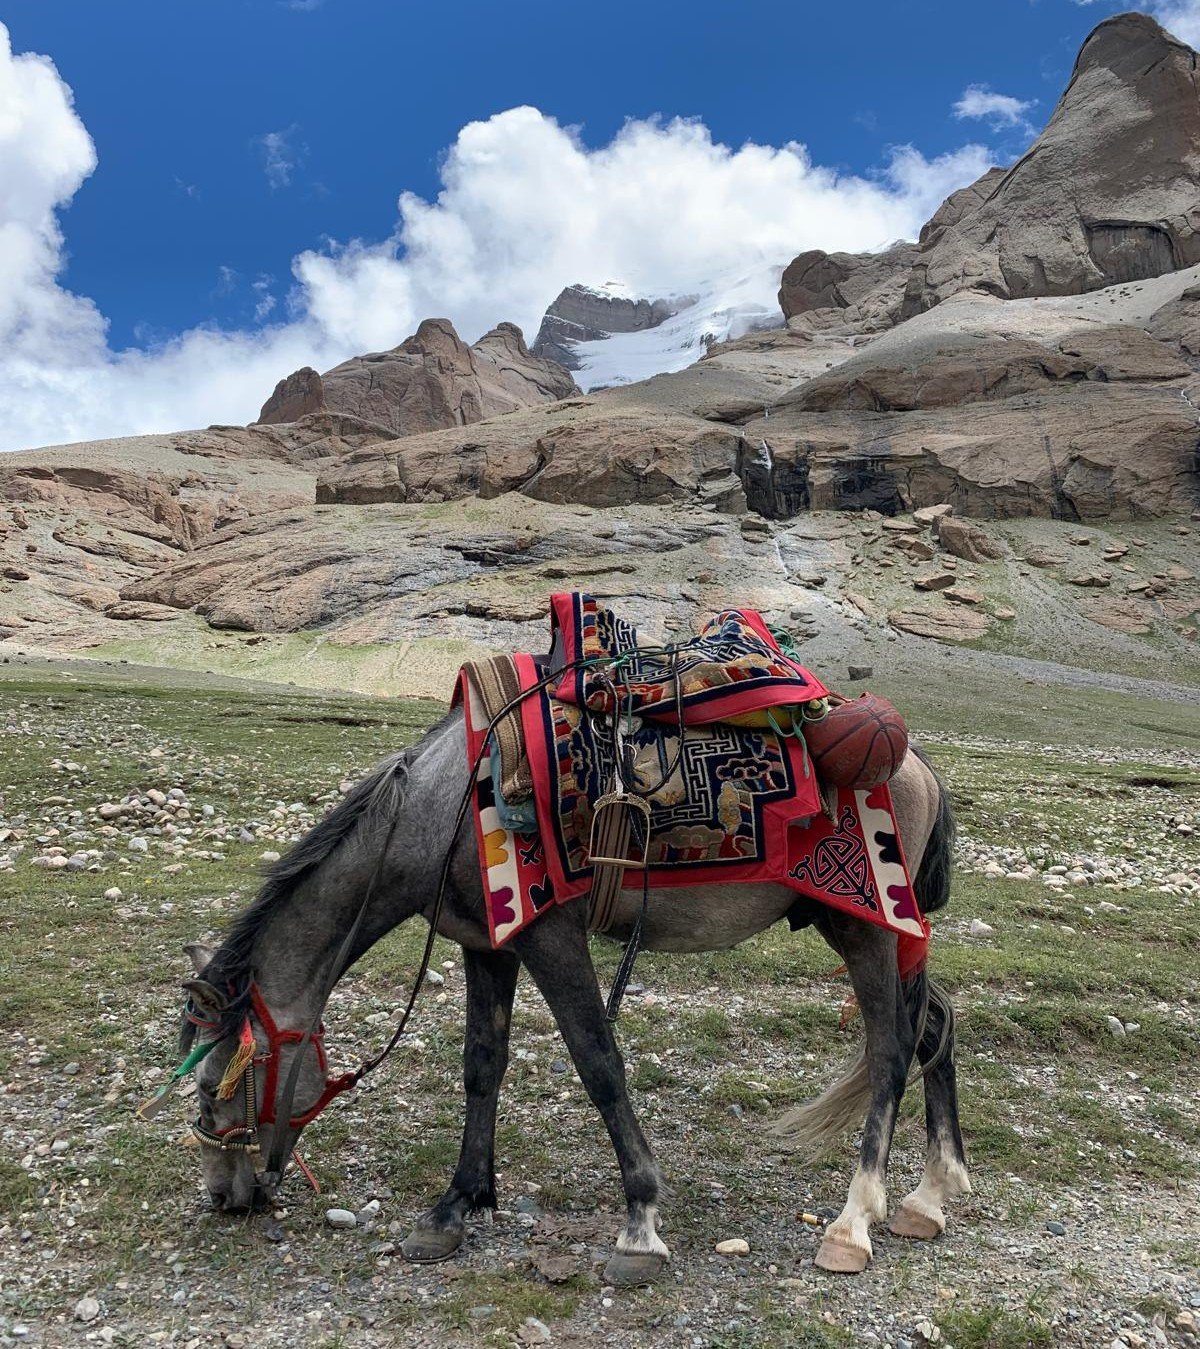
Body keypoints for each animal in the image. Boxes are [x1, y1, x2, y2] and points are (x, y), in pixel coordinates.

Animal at [176, 706, 969, 1284]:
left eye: (213, 1087)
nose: (222, 1194)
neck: (440, 814)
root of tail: (921, 767)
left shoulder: (549, 935)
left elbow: (598, 1062)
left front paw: (640, 1225)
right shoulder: (487, 943)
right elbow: (482, 1063)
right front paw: (456, 1205)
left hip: (866, 926)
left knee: (892, 1047)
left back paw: (854, 1224)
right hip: (868, 930)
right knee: (934, 1026)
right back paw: (931, 1195)